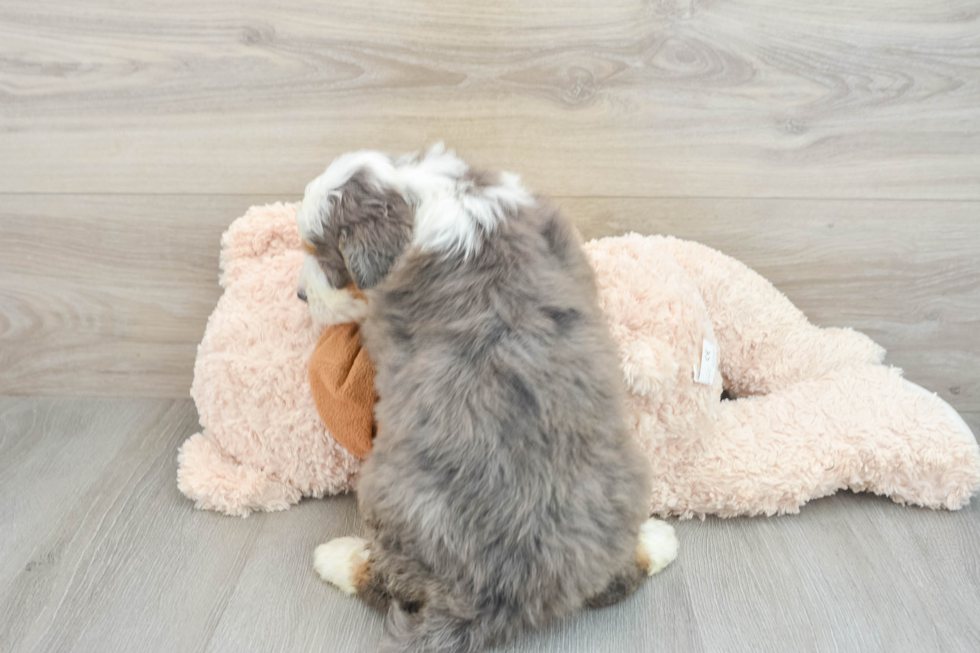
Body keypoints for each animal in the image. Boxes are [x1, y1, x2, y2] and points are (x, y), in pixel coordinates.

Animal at [300, 146, 680, 652]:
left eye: (325, 256)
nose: (299, 295)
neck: (424, 193)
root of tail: (504, 598)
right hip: (624, 481)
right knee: (617, 580)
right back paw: (657, 539)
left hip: (387, 495)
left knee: (384, 581)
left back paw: (336, 557)